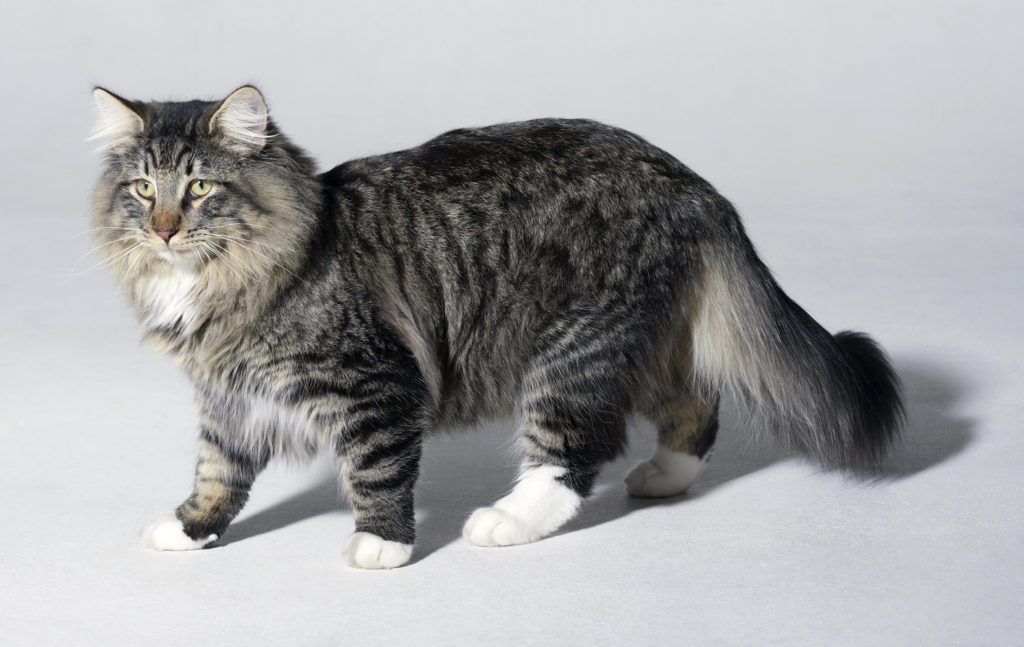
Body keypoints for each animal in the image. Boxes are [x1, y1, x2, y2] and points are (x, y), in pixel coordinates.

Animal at [90, 84, 905, 565]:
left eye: (199, 188)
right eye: (144, 189)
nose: (163, 230)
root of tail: (691, 180)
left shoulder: (376, 387)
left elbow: (376, 471)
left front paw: (380, 545)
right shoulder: (228, 396)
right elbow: (217, 472)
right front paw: (189, 527)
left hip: (573, 346)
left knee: (575, 452)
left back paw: (507, 520)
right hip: (637, 343)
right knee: (696, 405)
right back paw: (666, 477)